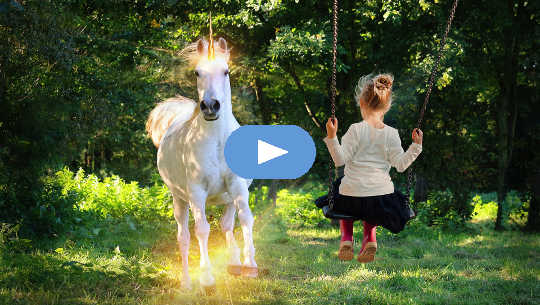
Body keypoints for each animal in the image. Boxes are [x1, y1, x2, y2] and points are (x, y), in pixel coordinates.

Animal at [146, 38, 258, 290]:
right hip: (180, 200)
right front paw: (206, 277)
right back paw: (187, 282)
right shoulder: (197, 192)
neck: (217, 141)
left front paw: (250, 265)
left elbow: (245, 218)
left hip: (227, 197)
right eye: (197, 72)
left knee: (227, 223)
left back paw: (234, 263)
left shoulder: (237, 185)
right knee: (184, 237)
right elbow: (202, 230)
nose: (210, 106)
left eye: (226, 71)